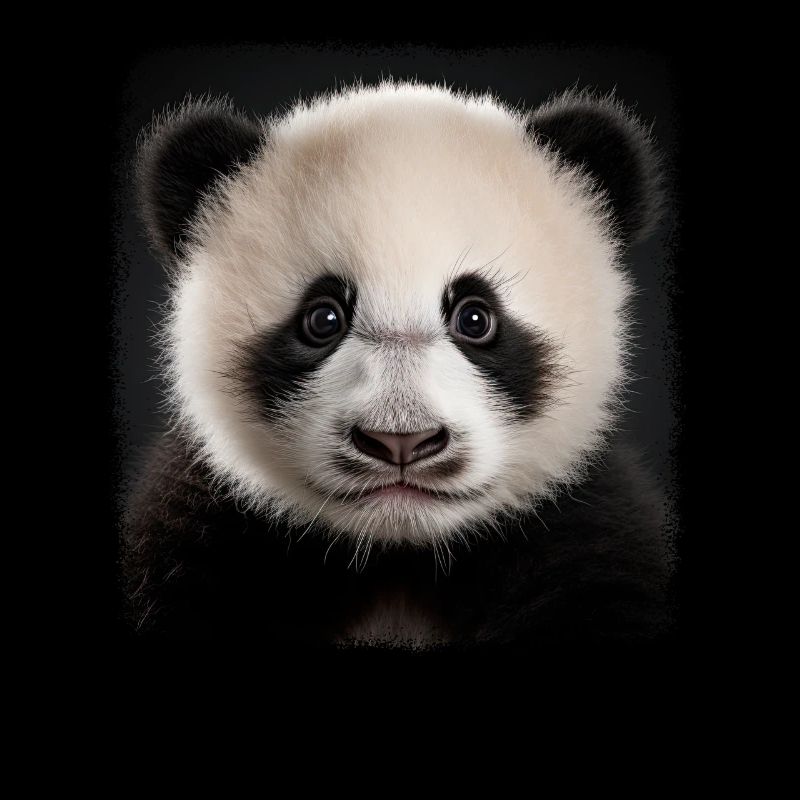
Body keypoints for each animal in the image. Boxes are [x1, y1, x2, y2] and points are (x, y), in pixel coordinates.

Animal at [122, 80, 672, 648]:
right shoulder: (204, 540)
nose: (400, 442)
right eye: (323, 319)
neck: (399, 558)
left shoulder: (586, 540)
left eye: (476, 318)